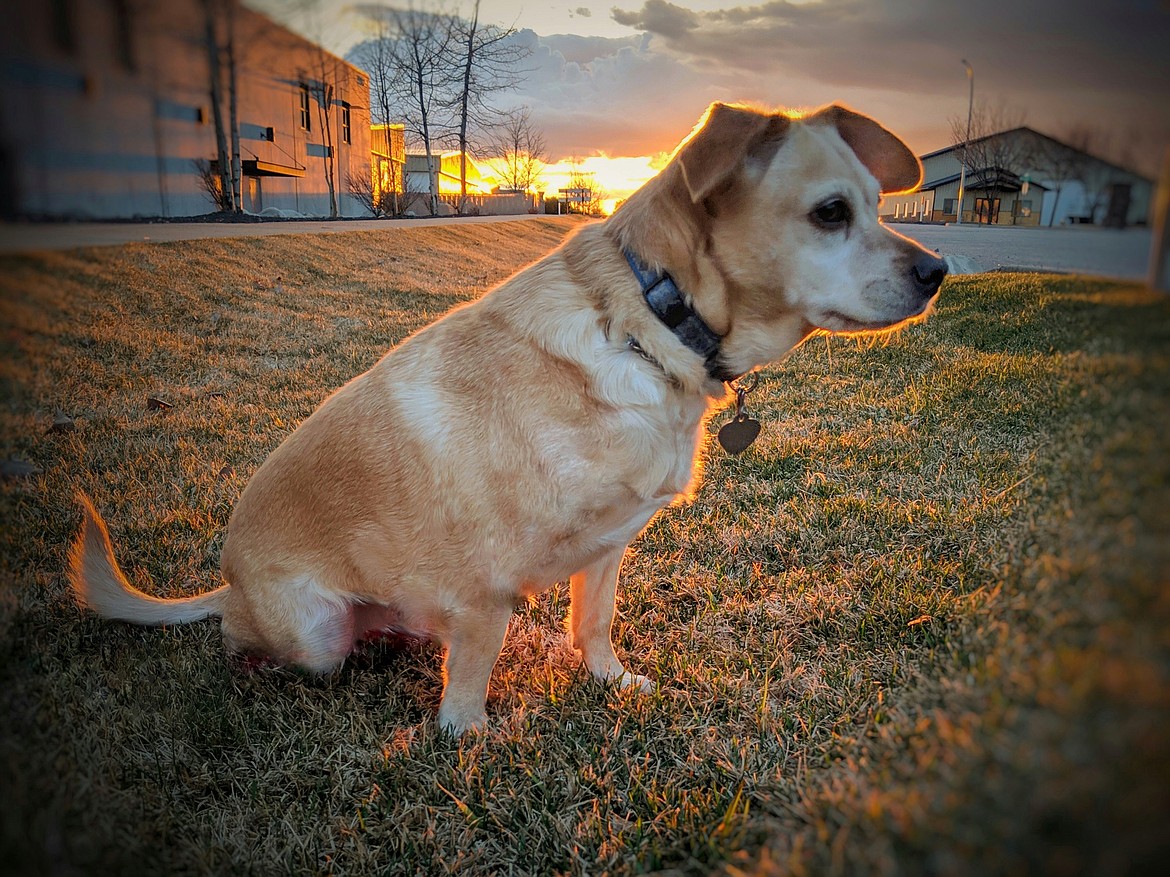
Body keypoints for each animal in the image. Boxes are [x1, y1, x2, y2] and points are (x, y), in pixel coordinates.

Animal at [70, 101, 950, 734]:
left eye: (879, 204)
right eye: (831, 212)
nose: (940, 268)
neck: (646, 323)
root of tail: (228, 584)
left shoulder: (610, 546)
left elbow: (592, 622)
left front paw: (612, 680)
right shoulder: (483, 583)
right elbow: (474, 670)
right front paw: (466, 739)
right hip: (313, 634)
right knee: (254, 646)